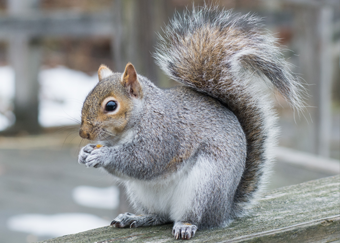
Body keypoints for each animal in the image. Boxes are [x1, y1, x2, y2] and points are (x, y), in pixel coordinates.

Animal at [77, 4, 304, 240]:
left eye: (111, 105)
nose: (83, 133)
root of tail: (225, 210)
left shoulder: (164, 134)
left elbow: (144, 160)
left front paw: (103, 155)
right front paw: (85, 152)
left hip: (203, 188)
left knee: (193, 217)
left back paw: (185, 225)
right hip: (142, 193)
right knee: (160, 216)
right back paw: (137, 218)